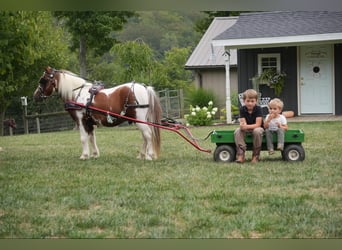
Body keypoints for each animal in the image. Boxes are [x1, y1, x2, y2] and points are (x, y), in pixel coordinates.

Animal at [34, 66, 162, 160]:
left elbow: (83, 138)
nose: (35, 96)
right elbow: (92, 138)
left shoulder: (81, 120)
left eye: (43, 80)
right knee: (145, 136)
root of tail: (145, 88)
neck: (77, 93)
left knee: (148, 135)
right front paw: (95, 154)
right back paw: (141, 155)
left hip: (139, 119)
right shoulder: (90, 122)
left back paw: (149, 155)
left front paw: (84, 155)